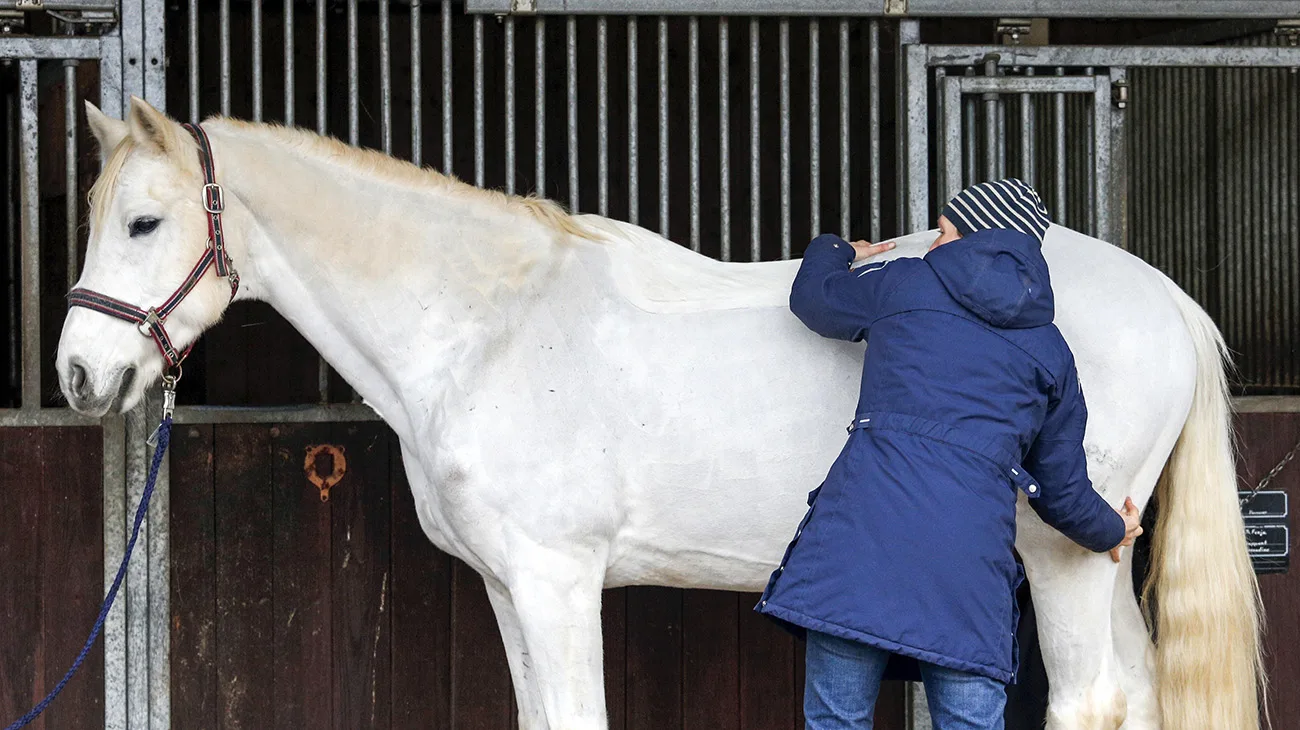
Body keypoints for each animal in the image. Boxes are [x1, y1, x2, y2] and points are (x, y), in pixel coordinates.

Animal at [57, 97, 1263, 730]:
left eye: (145, 221)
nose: (75, 373)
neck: (488, 324)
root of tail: (1163, 299)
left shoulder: (556, 580)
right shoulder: (507, 586)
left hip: (1060, 562)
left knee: (1091, 698)